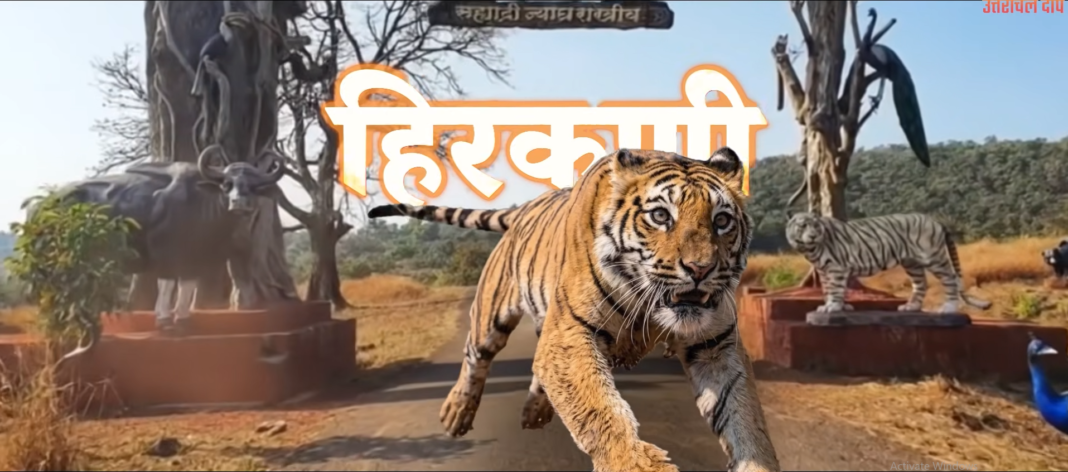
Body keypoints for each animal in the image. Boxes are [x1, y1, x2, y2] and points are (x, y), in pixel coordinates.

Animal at [368, 148, 779, 472]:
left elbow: (745, 418)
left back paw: (534, 411)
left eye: (721, 221)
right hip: (491, 313)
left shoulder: (716, 345)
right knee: (476, 356)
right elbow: (600, 408)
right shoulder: (572, 333)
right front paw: (636, 464)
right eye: (661, 216)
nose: (700, 269)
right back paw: (456, 413)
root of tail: (522, 209)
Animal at [784, 212, 992, 314]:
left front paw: (833, 307)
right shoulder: (825, 271)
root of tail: (935, 220)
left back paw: (949, 308)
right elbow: (830, 290)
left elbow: (835, 290)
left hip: (934, 257)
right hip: (912, 263)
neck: (811, 249)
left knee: (950, 279)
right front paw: (837, 306)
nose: (812, 235)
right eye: (803, 225)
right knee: (921, 284)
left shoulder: (836, 269)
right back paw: (911, 307)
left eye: (816, 226)